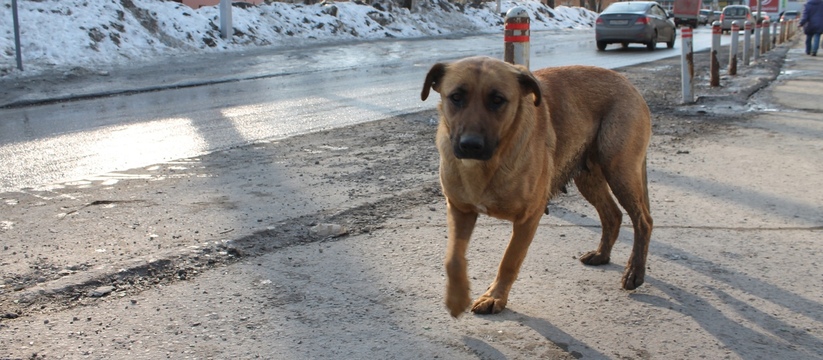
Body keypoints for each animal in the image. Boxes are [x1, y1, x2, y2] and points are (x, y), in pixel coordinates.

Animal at [422, 54, 652, 316]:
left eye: (498, 100)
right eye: (456, 97)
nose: (471, 145)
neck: (487, 166)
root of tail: (628, 84)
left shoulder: (529, 217)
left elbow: (510, 259)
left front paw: (495, 296)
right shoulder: (459, 210)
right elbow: (453, 258)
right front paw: (456, 297)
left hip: (619, 170)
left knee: (643, 221)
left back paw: (634, 272)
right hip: (589, 177)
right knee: (612, 215)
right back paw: (602, 254)